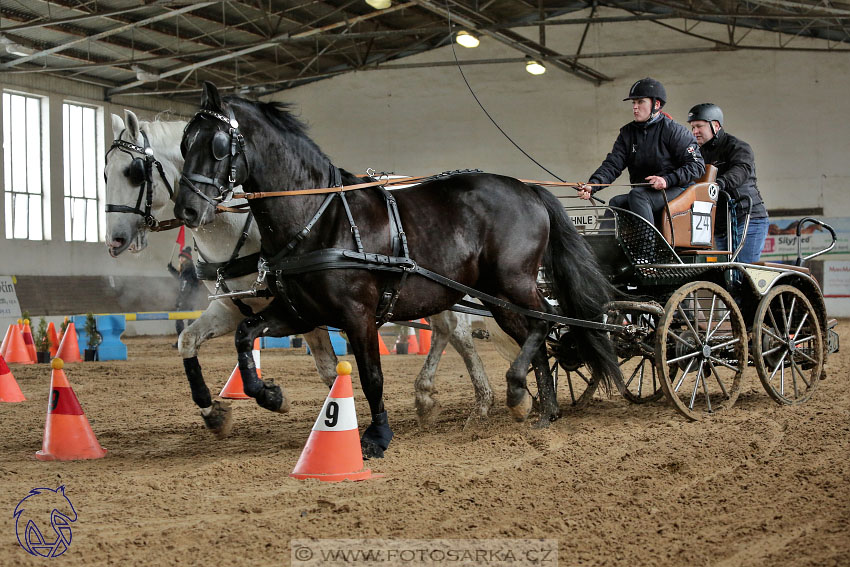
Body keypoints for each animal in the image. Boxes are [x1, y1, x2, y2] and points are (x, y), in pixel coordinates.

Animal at [103, 108, 494, 432]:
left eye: (134, 172)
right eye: (104, 172)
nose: (114, 240)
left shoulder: (306, 311)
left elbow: (328, 368)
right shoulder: (233, 308)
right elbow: (187, 340)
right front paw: (214, 412)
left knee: (455, 330)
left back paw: (466, 398)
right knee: (450, 329)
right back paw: (449, 398)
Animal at [174, 82, 624, 460]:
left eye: (217, 145)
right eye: (184, 143)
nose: (187, 210)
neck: (318, 216)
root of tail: (526, 187)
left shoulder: (357, 315)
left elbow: (371, 375)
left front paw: (377, 436)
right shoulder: (300, 312)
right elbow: (244, 335)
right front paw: (268, 395)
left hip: (513, 281)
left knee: (544, 321)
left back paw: (518, 393)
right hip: (496, 295)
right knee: (532, 331)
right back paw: (542, 410)